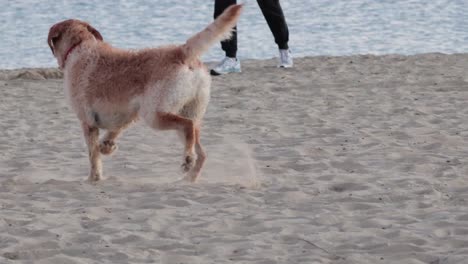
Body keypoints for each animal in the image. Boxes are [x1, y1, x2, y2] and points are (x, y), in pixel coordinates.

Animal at [47, 4, 243, 182]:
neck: (79, 46)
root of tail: (181, 51)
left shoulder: (88, 123)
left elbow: (93, 156)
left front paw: (93, 178)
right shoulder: (131, 112)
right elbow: (114, 131)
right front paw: (107, 146)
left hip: (155, 115)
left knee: (187, 126)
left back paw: (187, 159)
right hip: (187, 112)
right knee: (201, 150)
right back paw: (189, 176)